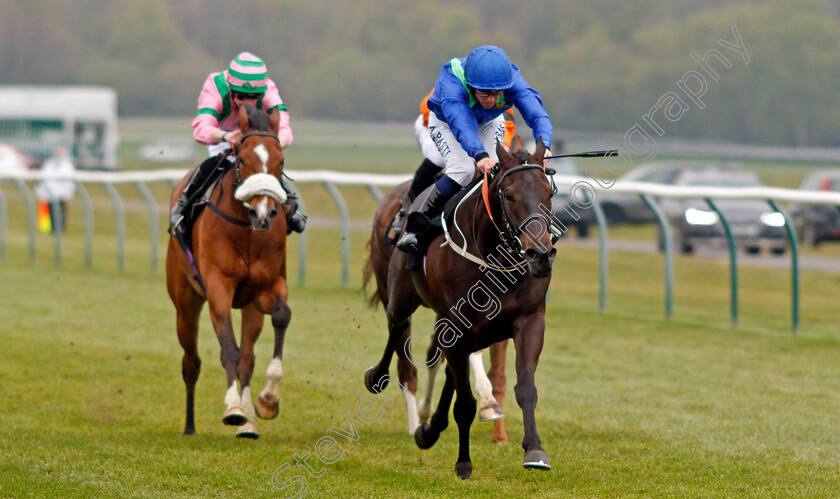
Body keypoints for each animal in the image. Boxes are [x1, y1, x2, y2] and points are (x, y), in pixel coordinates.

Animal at [166, 104, 294, 438]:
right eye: (244, 158)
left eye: (281, 160)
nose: (264, 214)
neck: (247, 230)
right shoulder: (218, 288)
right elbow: (229, 351)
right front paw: (233, 408)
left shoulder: (266, 288)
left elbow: (281, 316)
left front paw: (267, 401)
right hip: (185, 303)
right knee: (191, 362)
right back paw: (190, 426)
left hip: (249, 307)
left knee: (248, 357)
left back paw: (248, 424)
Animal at [364, 141, 556, 480]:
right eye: (509, 195)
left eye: (549, 192)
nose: (540, 255)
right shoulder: (456, 324)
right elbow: (464, 403)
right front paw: (464, 463)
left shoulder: (529, 320)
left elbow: (525, 388)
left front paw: (535, 450)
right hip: (399, 293)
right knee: (396, 327)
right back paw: (379, 377)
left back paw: (429, 428)